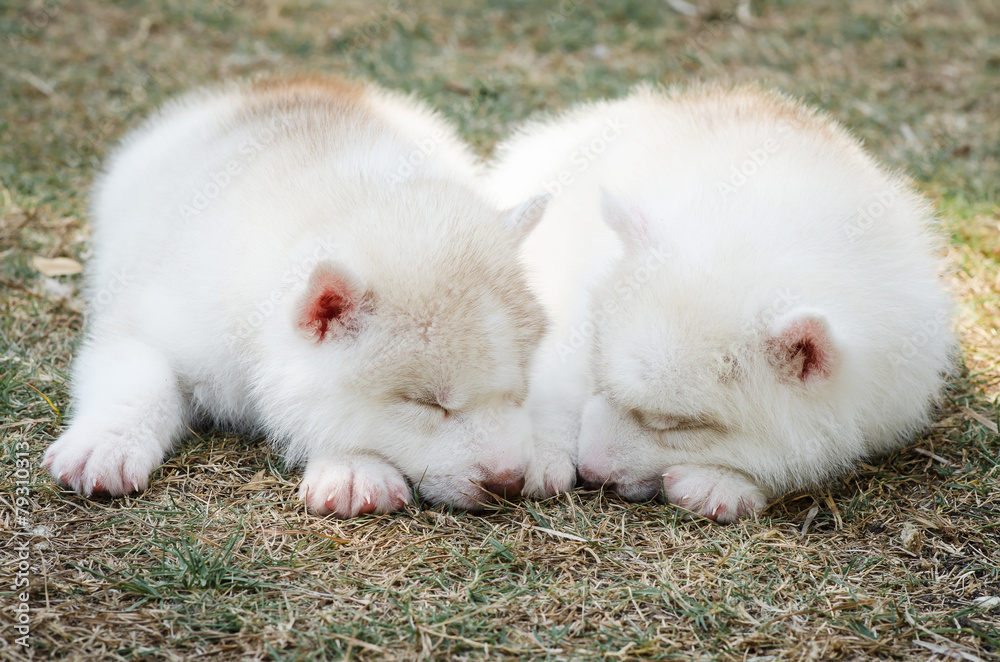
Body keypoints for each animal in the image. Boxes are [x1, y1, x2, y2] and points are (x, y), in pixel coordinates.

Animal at [45, 78, 548, 520]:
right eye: (427, 404)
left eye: (519, 393)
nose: (508, 484)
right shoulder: (154, 321)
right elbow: (138, 380)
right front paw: (108, 442)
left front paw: (351, 466)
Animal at [488, 84, 956, 524]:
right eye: (598, 379)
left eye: (683, 426)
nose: (592, 473)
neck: (762, 224)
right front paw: (543, 446)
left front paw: (719, 484)